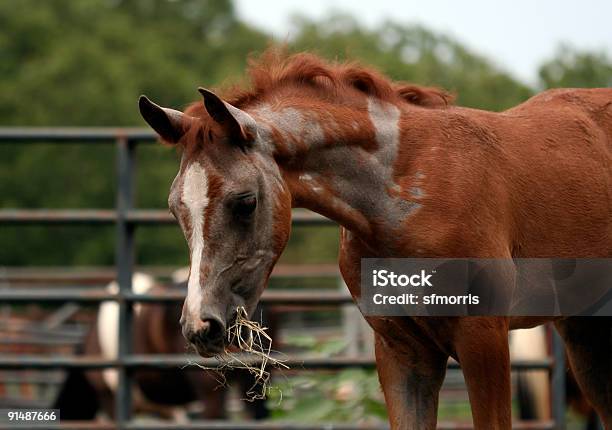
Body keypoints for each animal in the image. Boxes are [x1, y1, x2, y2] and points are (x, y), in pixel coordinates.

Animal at [139, 48, 612, 428]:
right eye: (175, 209)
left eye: (245, 202)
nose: (200, 326)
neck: (407, 192)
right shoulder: (401, 351)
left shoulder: (485, 338)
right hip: (584, 331)